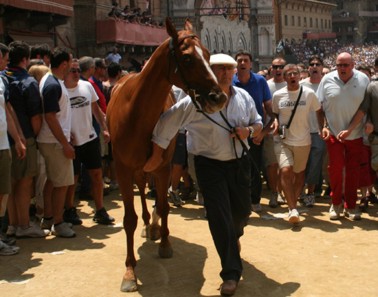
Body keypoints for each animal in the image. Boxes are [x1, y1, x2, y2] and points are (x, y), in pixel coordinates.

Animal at [105, 17, 226, 290]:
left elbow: (164, 205)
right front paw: (130, 271)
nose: (219, 96)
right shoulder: (123, 168)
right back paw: (147, 223)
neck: (137, 112)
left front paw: (165, 243)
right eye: (188, 58)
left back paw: (153, 226)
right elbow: (129, 218)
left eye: (208, 54)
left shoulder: (163, 166)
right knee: (141, 190)